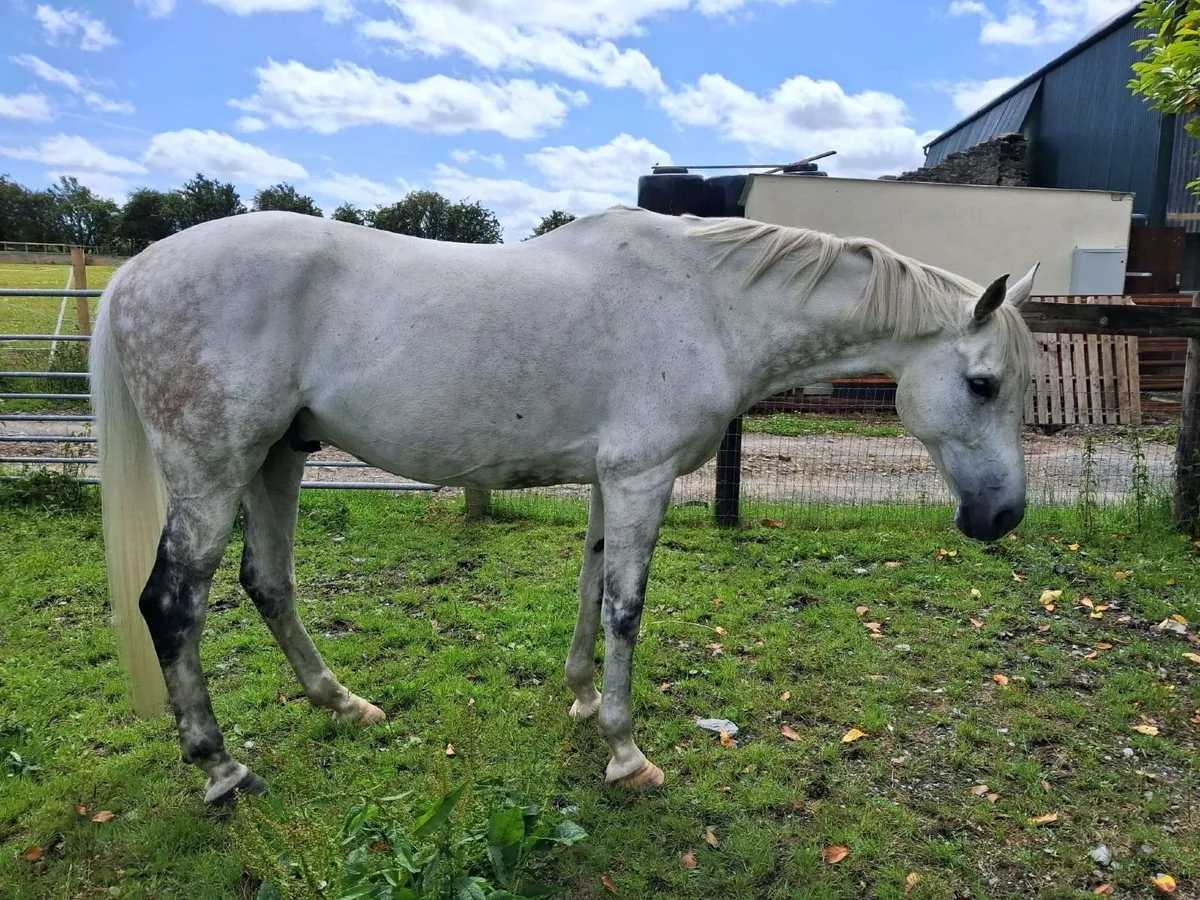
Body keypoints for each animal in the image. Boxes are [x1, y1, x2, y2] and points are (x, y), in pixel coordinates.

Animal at [89, 204, 1039, 806]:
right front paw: (626, 752)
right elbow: (626, 608)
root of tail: (135, 270)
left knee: (268, 581)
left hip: (276, 460)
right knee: (172, 606)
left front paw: (581, 702)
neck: (707, 305)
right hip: (213, 473)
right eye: (983, 384)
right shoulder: (643, 478)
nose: (1003, 517)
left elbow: (589, 588)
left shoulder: (609, 480)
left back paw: (345, 705)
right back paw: (221, 770)